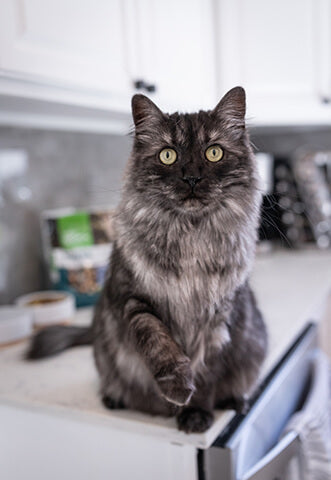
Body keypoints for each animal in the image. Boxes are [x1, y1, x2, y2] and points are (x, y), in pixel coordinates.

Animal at [27, 87, 268, 436]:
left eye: (214, 153)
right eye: (168, 155)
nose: (192, 178)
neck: (191, 237)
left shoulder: (219, 318)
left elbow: (206, 373)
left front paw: (196, 413)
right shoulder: (133, 298)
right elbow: (156, 341)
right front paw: (177, 387)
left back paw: (235, 400)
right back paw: (114, 398)